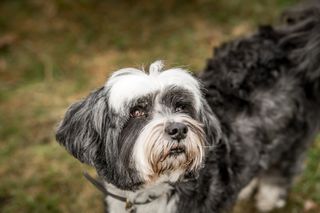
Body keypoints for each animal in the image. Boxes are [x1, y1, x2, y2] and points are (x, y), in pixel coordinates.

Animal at [55, 0, 320, 212]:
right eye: (137, 112)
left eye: (181, 108)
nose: (178, 129)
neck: (150, 194)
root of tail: (286, 41)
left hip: (294, 139)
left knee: (280, 170)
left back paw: (267, 199)